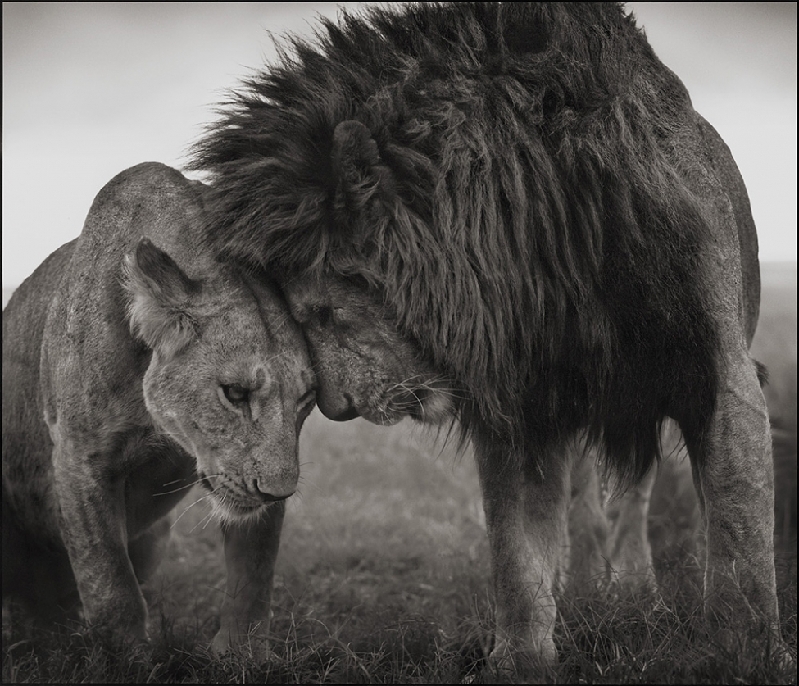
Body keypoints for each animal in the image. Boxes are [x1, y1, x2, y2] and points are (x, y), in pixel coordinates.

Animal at [3, 163, 316, 656]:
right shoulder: (79, 457)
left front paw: (239, 654)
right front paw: (126, 657)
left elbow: (254, 571)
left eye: (305, 400)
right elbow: (109, 582)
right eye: (235, 393)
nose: (278, 492)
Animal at [194, 2, 780, 676]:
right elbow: (517, 550)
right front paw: (522, 658)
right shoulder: (519, 402)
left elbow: (739, 535)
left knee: (632, 496)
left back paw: (634, 592)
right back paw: (584, 591)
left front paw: (745, 654)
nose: (337, 409)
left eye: (321, 312)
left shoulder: (719, 374)